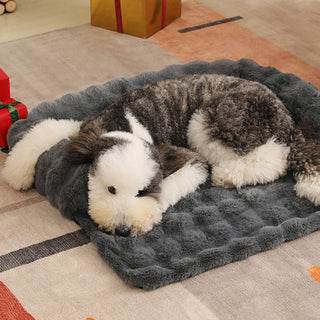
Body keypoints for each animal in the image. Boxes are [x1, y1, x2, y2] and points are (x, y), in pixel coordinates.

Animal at [3, 74, 320, 235]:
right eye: (111, 189)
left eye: (143, 192)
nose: (122, 230)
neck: (127, 124)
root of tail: (287, 117)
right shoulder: (89, 130)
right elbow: (48, 127)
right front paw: (16, 170)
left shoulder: (190, 159)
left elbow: (177, 181)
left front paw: (148, 215)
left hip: (212, 120)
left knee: (276, 158)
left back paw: (229, 175)